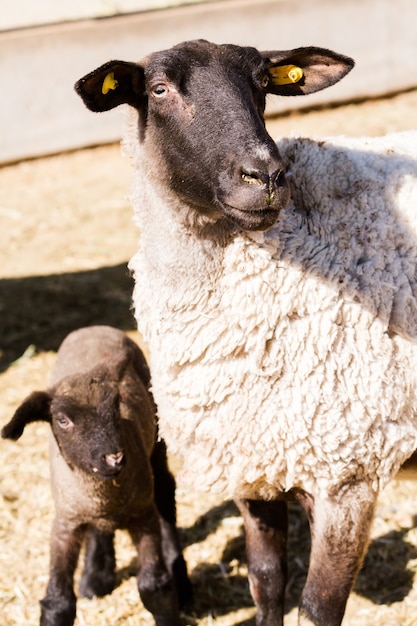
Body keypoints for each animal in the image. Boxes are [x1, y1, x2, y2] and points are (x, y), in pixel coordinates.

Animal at [0, 324, 190, 624]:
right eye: (63, 420)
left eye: (116, 406)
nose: (115, 457)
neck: (104, 495)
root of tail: (92, 327)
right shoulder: (66, 522)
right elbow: (58, 603)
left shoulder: (143, 515)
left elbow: (154, 587)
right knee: (100, 529)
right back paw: (95, 576)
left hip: (156, 447)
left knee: (165, 494)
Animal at [74, 40, 416, 624]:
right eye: (159, 89)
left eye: (262, 85)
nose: (267, 175)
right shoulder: (253, 459)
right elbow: (266, 580)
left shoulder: (352, 473)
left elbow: (318, 608)